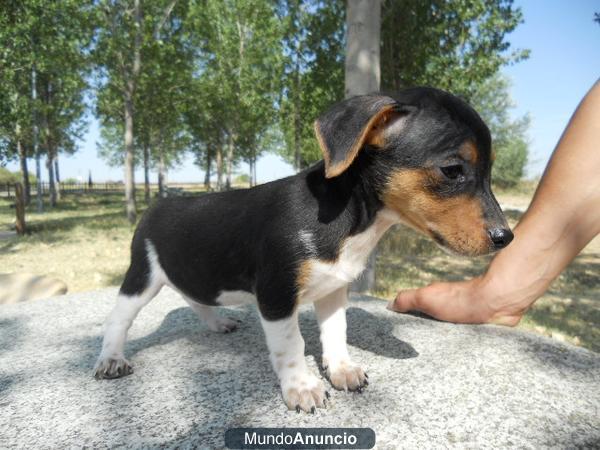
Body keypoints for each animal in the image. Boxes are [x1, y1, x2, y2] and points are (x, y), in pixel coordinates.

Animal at [94, 89, 510, 414]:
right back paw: (111, 359)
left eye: (491, 171)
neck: (348, 222)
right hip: (142, 276)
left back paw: (218, 323)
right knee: (118, 320)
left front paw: (342, 370)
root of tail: (158, 204)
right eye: (452, 169)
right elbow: (291, 343)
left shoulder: (334, 290)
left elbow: (336, 333)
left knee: (196, 298)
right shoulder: (276, 295)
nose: (506, 237)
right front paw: (302, 387)